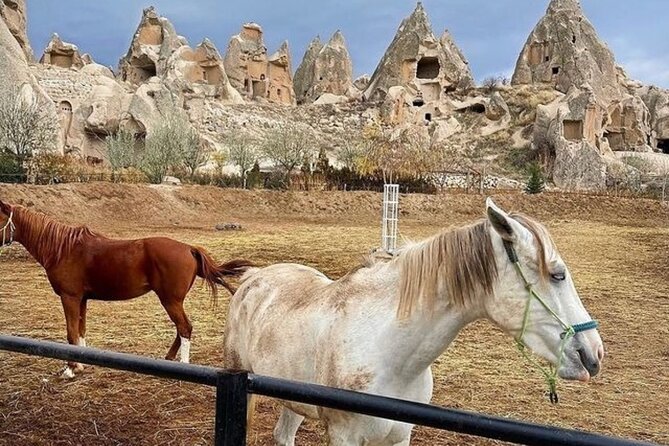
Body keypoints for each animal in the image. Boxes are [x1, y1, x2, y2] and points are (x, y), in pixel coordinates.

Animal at [0, 199, 251, 378]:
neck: (63, 249)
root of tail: (189, 248)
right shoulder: (82, 299)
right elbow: (80, 330)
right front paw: (81, 364)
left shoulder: (69, 297)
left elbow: (71, 333)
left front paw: (70, 369)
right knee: (182, 329)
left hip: (170, 300)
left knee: (184, 328)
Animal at [223, 198, 604, 446]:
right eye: (557, 274)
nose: (593, 354)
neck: (387, 353)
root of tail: (255, 277)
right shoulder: (344, 437)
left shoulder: (398, 437)